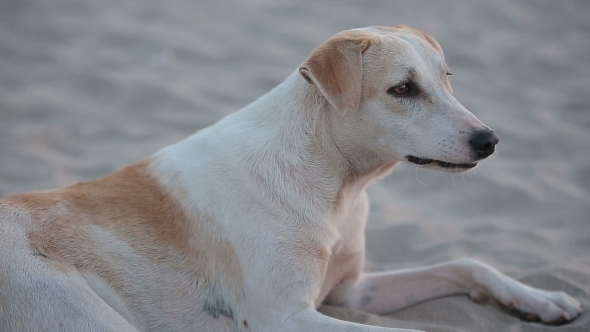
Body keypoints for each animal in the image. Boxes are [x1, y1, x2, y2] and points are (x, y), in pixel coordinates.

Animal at [0, 25, 584, 332]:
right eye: (403, 90)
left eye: (446, 80)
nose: (490, 141)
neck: (336, 184)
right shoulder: (288, 316)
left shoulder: (352, 291)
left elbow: (466, 262)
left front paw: (539, 299)